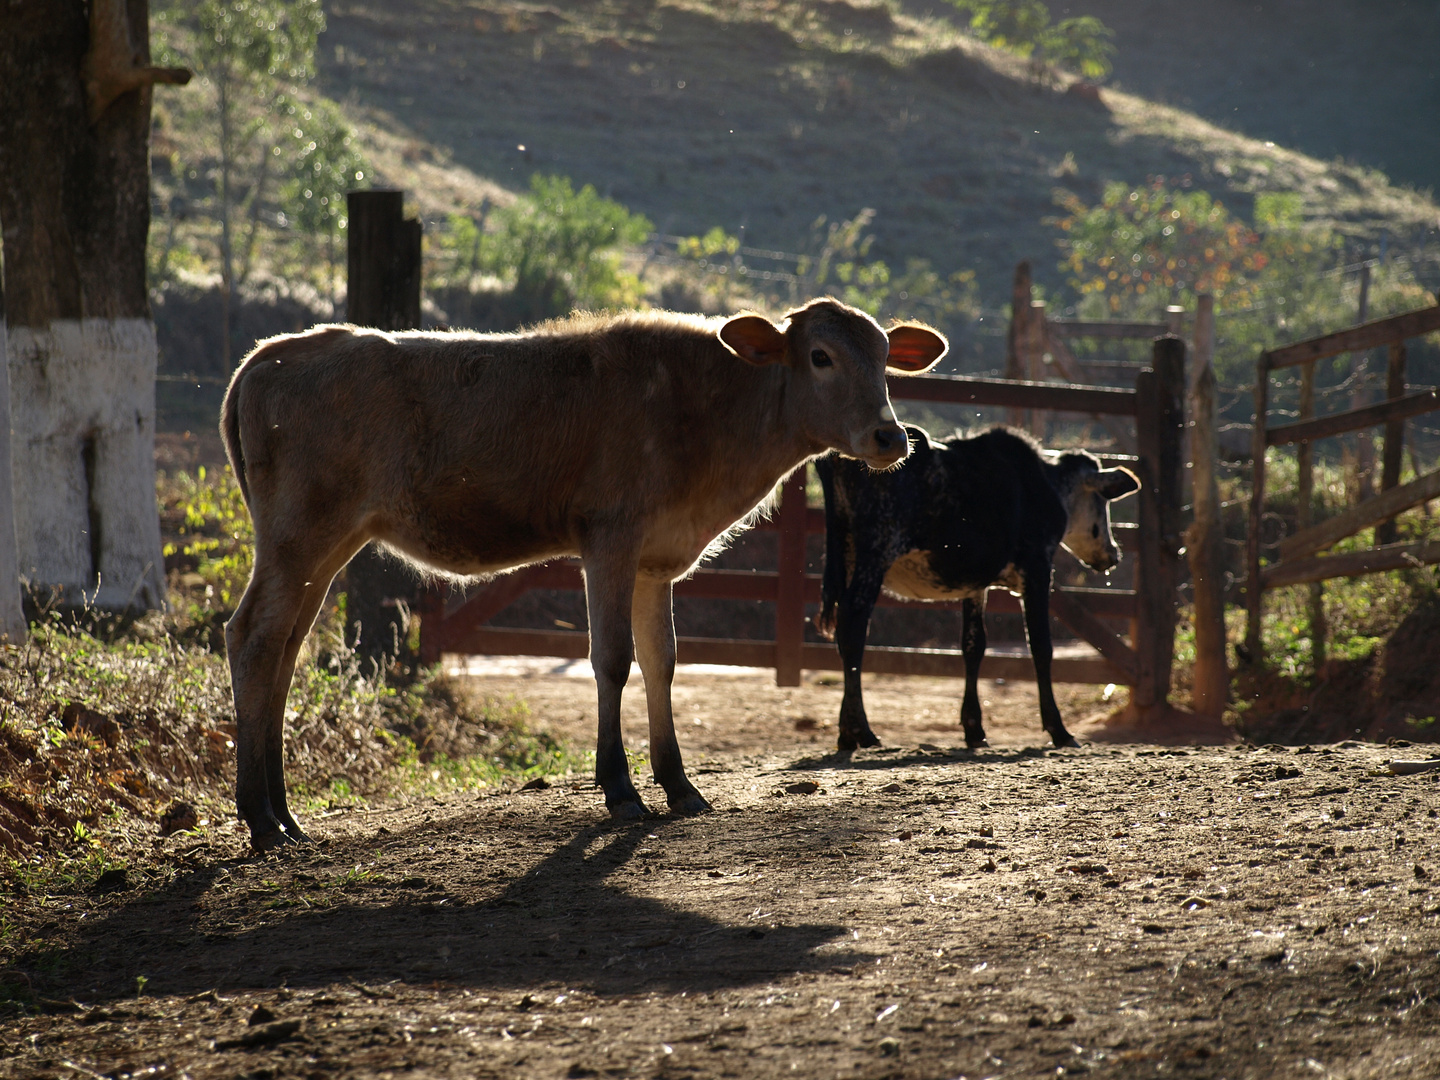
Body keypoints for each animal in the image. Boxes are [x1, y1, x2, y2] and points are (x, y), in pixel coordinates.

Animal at [221, 300, 944, 852]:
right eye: (821, 357)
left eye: (885, 358)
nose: (889, 437)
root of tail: (275, 352)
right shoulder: (610, 540)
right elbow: (613, 659)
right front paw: (621, 789)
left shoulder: (657, 561)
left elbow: (662, 661)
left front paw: (678, 783)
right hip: (298, 534)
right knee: (254, 636)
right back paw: (260, 820)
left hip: (326, 544)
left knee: (285, 650)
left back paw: (284, 814)